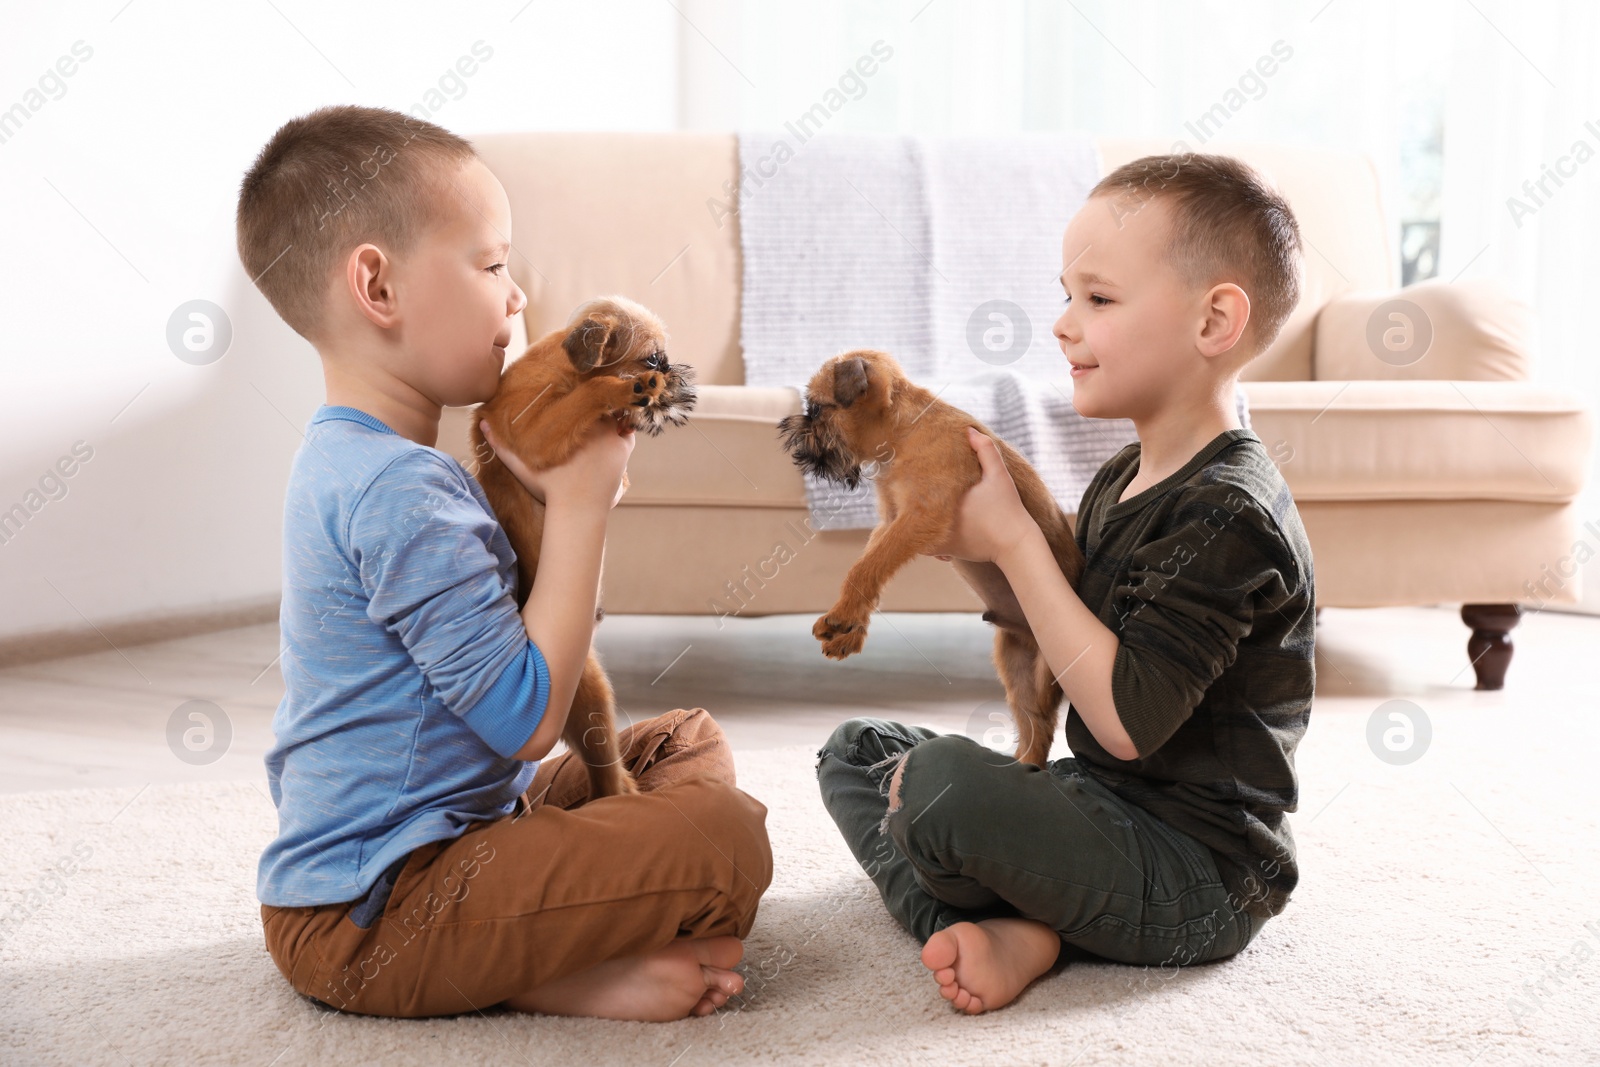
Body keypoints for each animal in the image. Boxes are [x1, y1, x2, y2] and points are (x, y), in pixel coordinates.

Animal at [467, 295, 694, 796]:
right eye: (653, 359)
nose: (672, 371)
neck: (566, 370)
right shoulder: (530, 430)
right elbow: (583, 400)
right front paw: (625, 391)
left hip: (589, 695)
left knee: (608, 773)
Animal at [777, 350, 1088, 767]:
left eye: (816, 408)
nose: (794, 428)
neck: (904, 431)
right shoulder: (890, 523)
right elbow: (868, 568)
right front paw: (851, 626)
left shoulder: (918, 520)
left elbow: (865, 567)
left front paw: (844, 618)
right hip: (1014, 662)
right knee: (1033, 727)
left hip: (1046, 671)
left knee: (1044, 720)